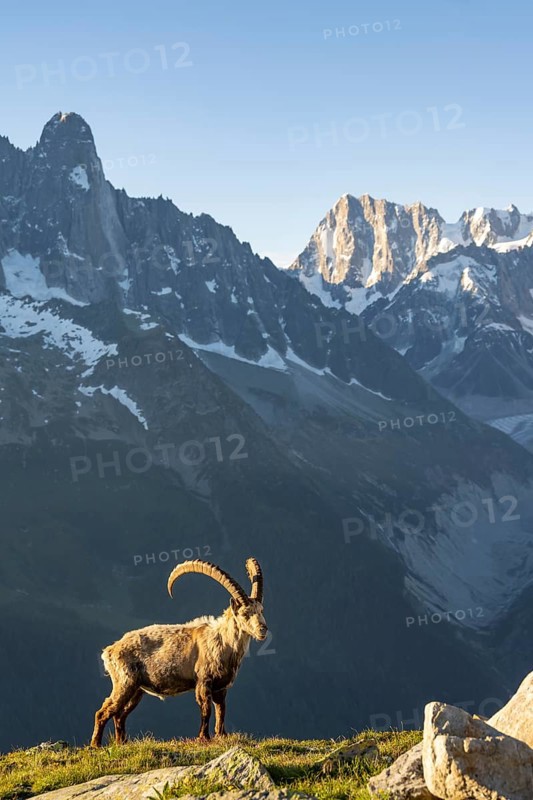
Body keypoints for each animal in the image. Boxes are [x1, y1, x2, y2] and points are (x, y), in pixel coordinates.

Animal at [90, 558, 266, 747]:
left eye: (261, 610)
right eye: (245, 613)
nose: (263, 629)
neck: (223, 641)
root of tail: (110, 650)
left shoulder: (221, 687)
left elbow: (221, 710)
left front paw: (222, 735)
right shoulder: (203, 682)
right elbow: (206, 709)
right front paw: (203, 737)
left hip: (137, 690)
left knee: (119, 715)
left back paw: (121, 743)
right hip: (124, 682)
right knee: (104, 712)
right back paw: (95, 745)